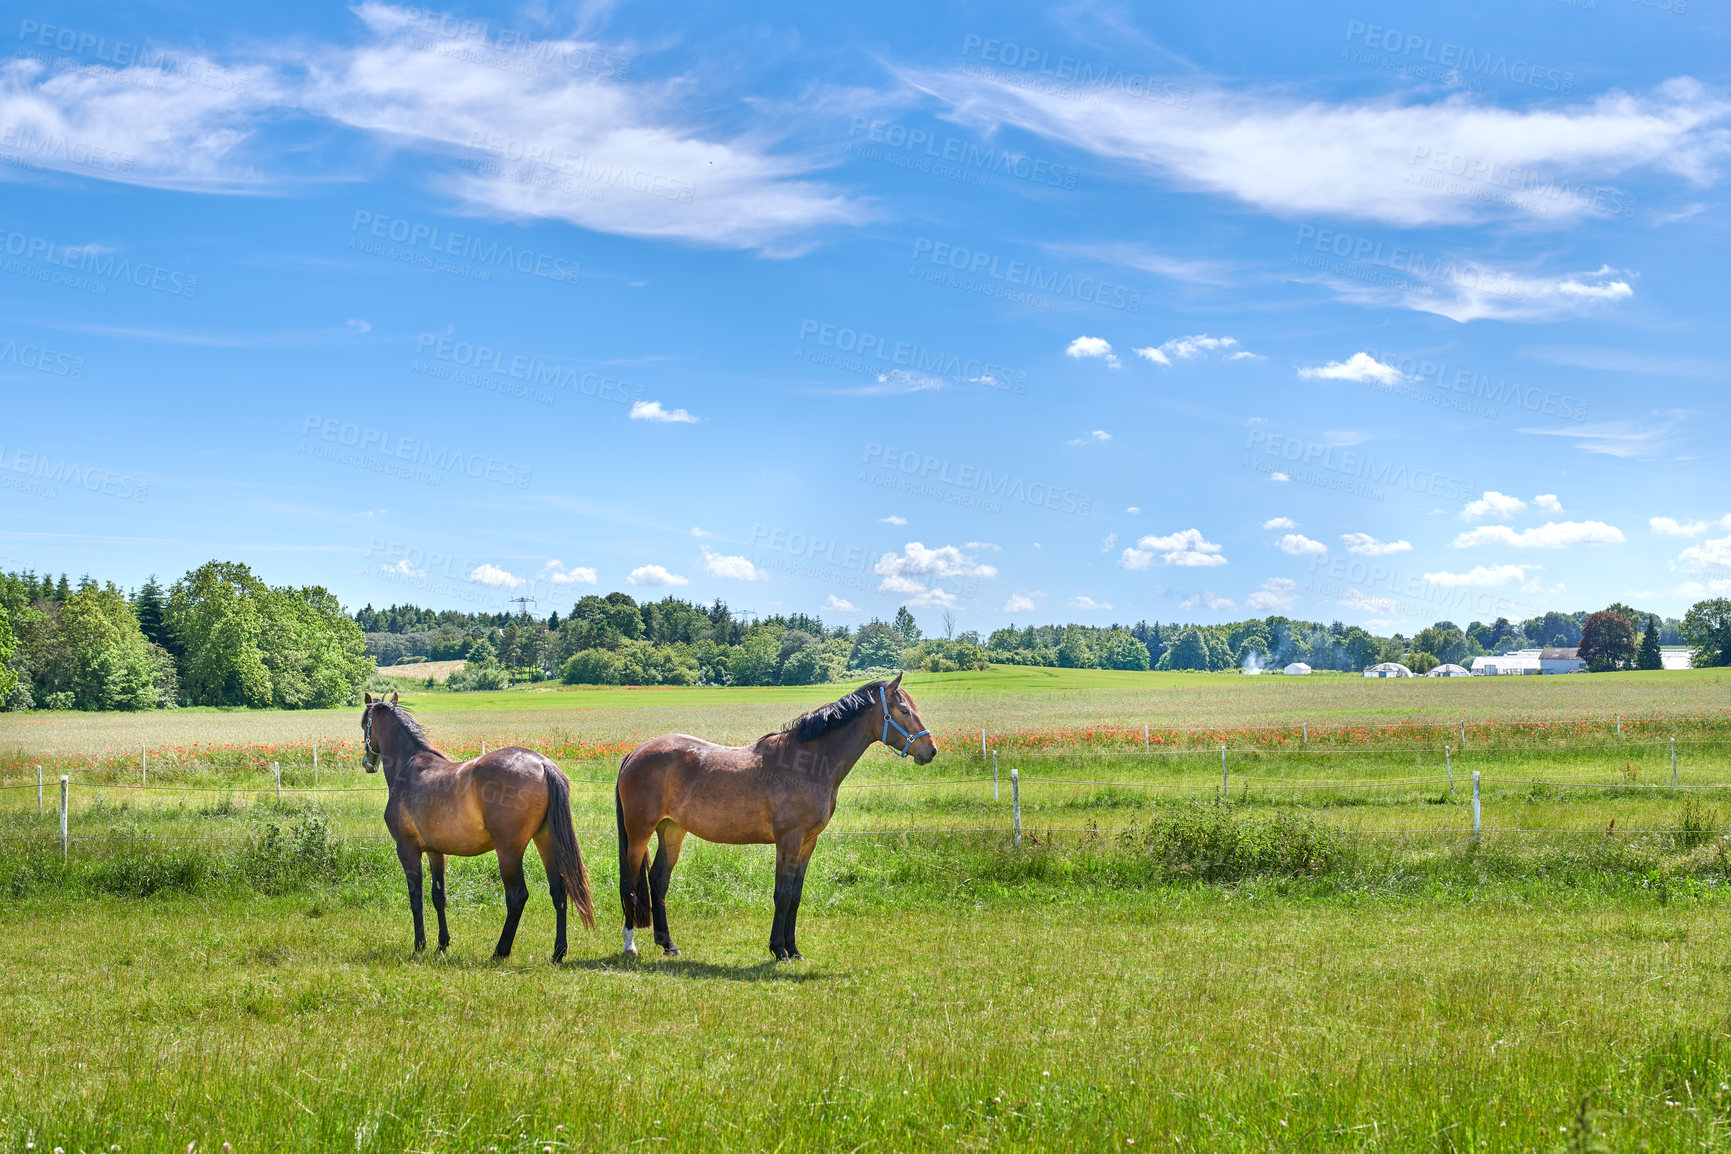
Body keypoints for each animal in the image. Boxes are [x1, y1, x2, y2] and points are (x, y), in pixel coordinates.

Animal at [358, 695, 595, 955]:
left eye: (364, 724)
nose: (367, 763)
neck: (409, 766)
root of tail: (542, 764)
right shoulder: (435, 851)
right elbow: (438, 896)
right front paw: (442, 943)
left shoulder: (407, 849)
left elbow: (416, 897)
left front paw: (419, 944)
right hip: (546, 841)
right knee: (559, 891)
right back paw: (558, 952)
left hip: (509, 851)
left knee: (517, 896)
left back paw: (500, 951)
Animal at [612, 671, 934, 961]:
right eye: (904, 710)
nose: (929, 750)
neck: (806, 764)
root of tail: (636, 753)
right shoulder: (788, 841)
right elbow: (782, 894)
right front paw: (779, 950)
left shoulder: (807, 843)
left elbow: (795, 896)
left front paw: (794, 950)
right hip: (639, 834)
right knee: (630, 884)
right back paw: (630, 944)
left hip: (671, 831)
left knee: (658, 881)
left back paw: (668, 944)